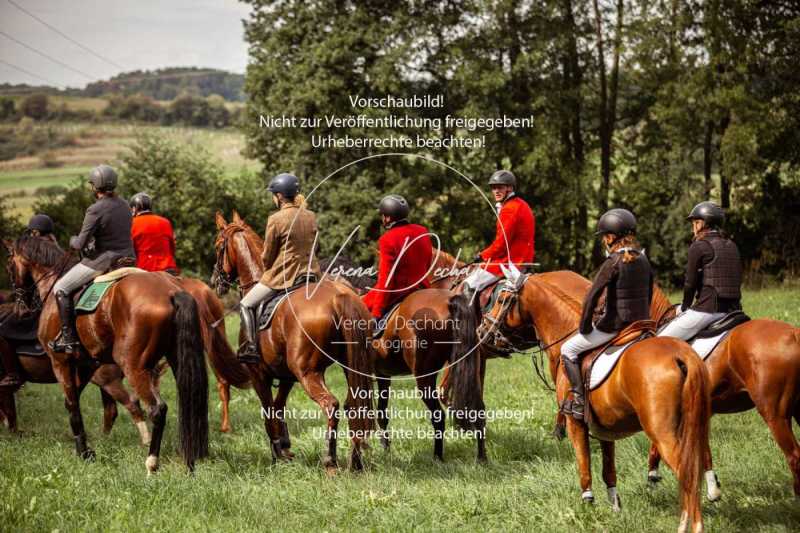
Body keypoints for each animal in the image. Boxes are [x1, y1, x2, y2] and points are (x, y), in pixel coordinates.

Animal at [3, 235, 209, 472]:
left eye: (9, 265)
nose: (21, 309)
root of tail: (171, 291)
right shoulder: (85, 366)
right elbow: (73, 403)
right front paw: (85, 451)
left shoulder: (60, 362)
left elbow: (71, 404)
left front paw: (84, 453)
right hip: (176, 359)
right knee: (189, 404)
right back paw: (189, 465)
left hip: (134, 366)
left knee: (156, 409)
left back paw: (152, 463)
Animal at [212, 212, 376, 470]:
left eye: (219, 246)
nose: (215, 281)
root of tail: (339, 297)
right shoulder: (286, 376)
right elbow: (279, 407)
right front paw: (285, 447)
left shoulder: (259, 374)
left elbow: (269, 412)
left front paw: (277, 454)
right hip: (349, 368)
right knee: (353, 405)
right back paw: (355, 461)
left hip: (307, 372)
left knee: (331, 405)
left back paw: (330, 461)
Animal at [484, 272, 708, 528]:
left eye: (502, 299)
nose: (483, 330)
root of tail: (680, 356)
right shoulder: (606, 430)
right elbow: (609, 472)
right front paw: (616, 509)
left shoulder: (575, 424)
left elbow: (585, 467)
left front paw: (588, 505)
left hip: (663, 434)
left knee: (687, 474)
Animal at [648, 284, 800, 496]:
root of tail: (794, 334)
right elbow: (703, 449)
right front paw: (713, 487)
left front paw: (653, 474)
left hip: (775, 415)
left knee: (794, 456)